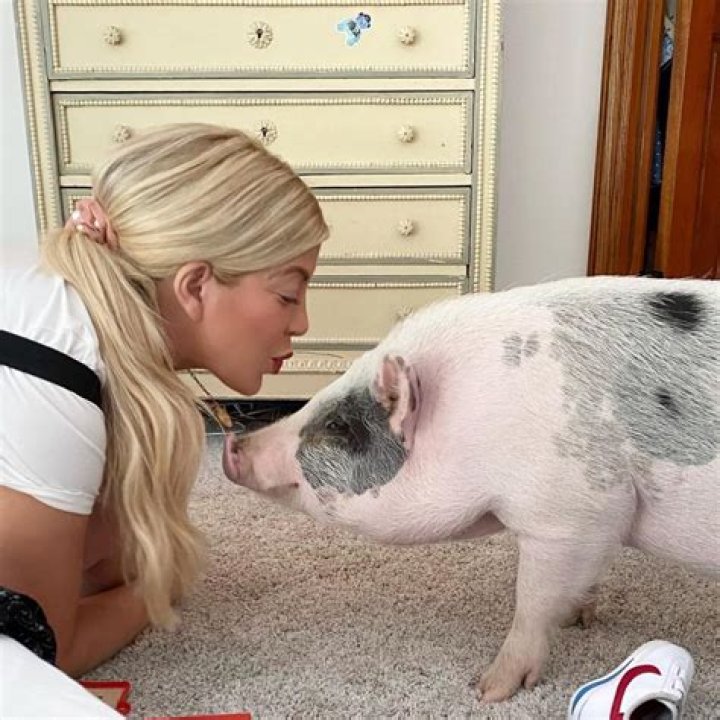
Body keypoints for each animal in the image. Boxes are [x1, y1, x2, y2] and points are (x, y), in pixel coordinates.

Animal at [222, 275, 720, 703]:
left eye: (338, 426)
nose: (234, 446)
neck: (471, 421)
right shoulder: (594, 528)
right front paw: (578, 620)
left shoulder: (573, 514)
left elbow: (532, 603)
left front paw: (487, 691)